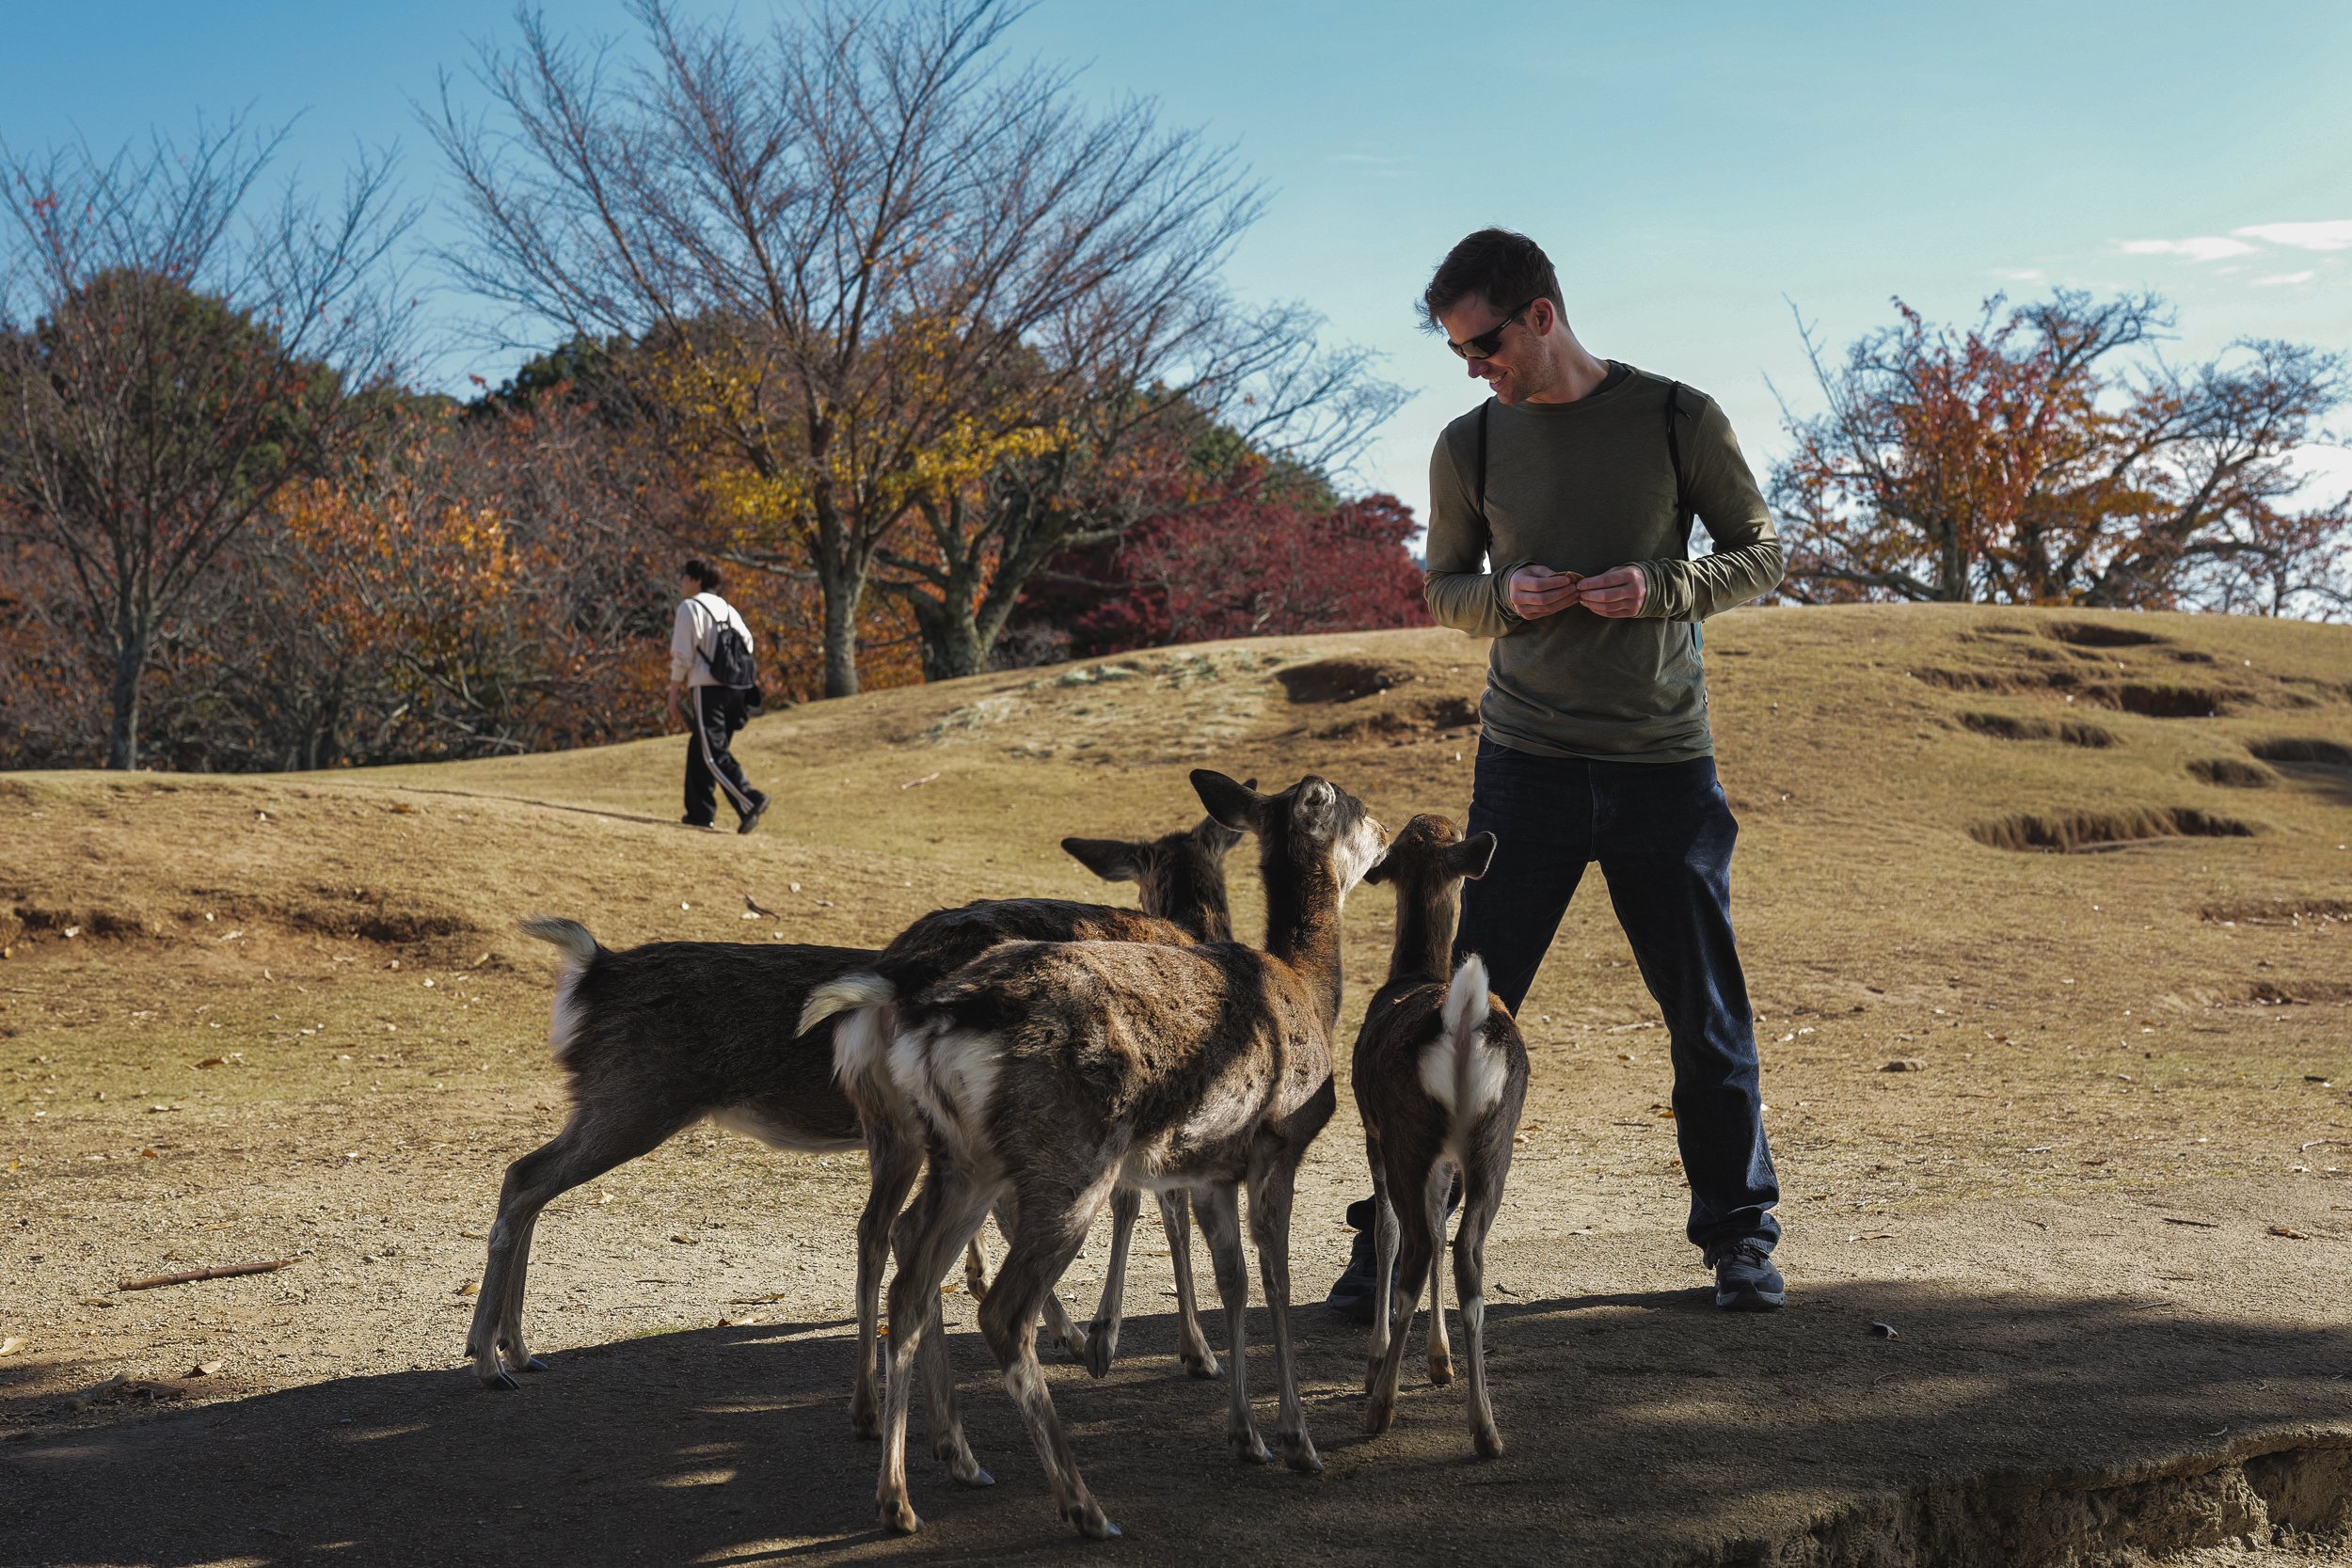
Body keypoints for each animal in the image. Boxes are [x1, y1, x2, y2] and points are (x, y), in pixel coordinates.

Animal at [467, 808, 1242, 1424]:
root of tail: (592, 971)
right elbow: (1149, 1211)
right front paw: (1165, 1348)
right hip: (635, 1096)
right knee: (525, 1178)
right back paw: (489, 1360)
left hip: (608, 1098)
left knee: (526, 1179)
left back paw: (515, 1348)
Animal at [846, 770, 1387, 1539]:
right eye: (1347, 802)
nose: (1389, 833)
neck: (1308, 989)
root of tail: (927, 1013)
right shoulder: (1277, 1145)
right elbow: (1275, 1280)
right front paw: (1296, 1440)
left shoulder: (1210, 1167)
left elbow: (1232, 1278)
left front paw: (1244, 1432)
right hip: (1070, 1162)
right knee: (1000, 1311)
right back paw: (1083, 1503)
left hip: (960, 1155)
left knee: (906, 1271)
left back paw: (912, 1487)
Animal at [1352, 813, 1527, 1459]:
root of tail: (1461, 1020)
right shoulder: (1448, 1159)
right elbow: (1439, 1222)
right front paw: (1439, 1360)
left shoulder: (1372, 1130)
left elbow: (1389, 1231)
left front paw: (1380, 1361)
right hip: (1493, 1141)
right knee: (1466, 1253)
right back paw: (1486, 1429)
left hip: (1407, 1131)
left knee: (1417, 1246)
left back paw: (1379, 1407)